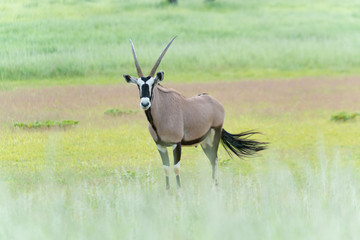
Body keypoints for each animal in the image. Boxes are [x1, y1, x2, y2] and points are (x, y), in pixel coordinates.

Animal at [124, 36, 268, 189]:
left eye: (153, 84)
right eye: (138, 85)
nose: (145, 103)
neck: (160, 115)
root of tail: (214, 101)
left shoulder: (176, 144)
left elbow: (176, 168)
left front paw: (179, 191)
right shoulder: (160, 145)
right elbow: (166, 168)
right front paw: (168, 191)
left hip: (215, 135)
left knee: (214, 159)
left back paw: (214, 187)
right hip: (205, 141)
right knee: (212, 159)